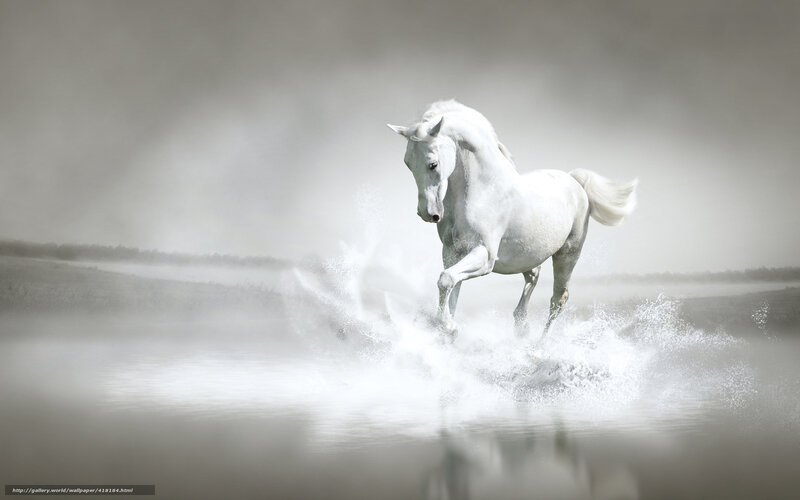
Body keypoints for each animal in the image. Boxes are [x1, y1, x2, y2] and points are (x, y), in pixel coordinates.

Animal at [388, 100, 637, 339]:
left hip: (567, 254)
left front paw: (449, 327)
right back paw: (521, 326)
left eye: (433, 164)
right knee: (534, 277)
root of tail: (575, 181)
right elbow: (451, 288)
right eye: (408, 163)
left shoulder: (484, 255)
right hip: (528, 255)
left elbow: (446, 280)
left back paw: (539, 346)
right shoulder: (452, 252)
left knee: (558, 299)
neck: (483, 191)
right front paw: (447, 329)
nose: (427, 213)